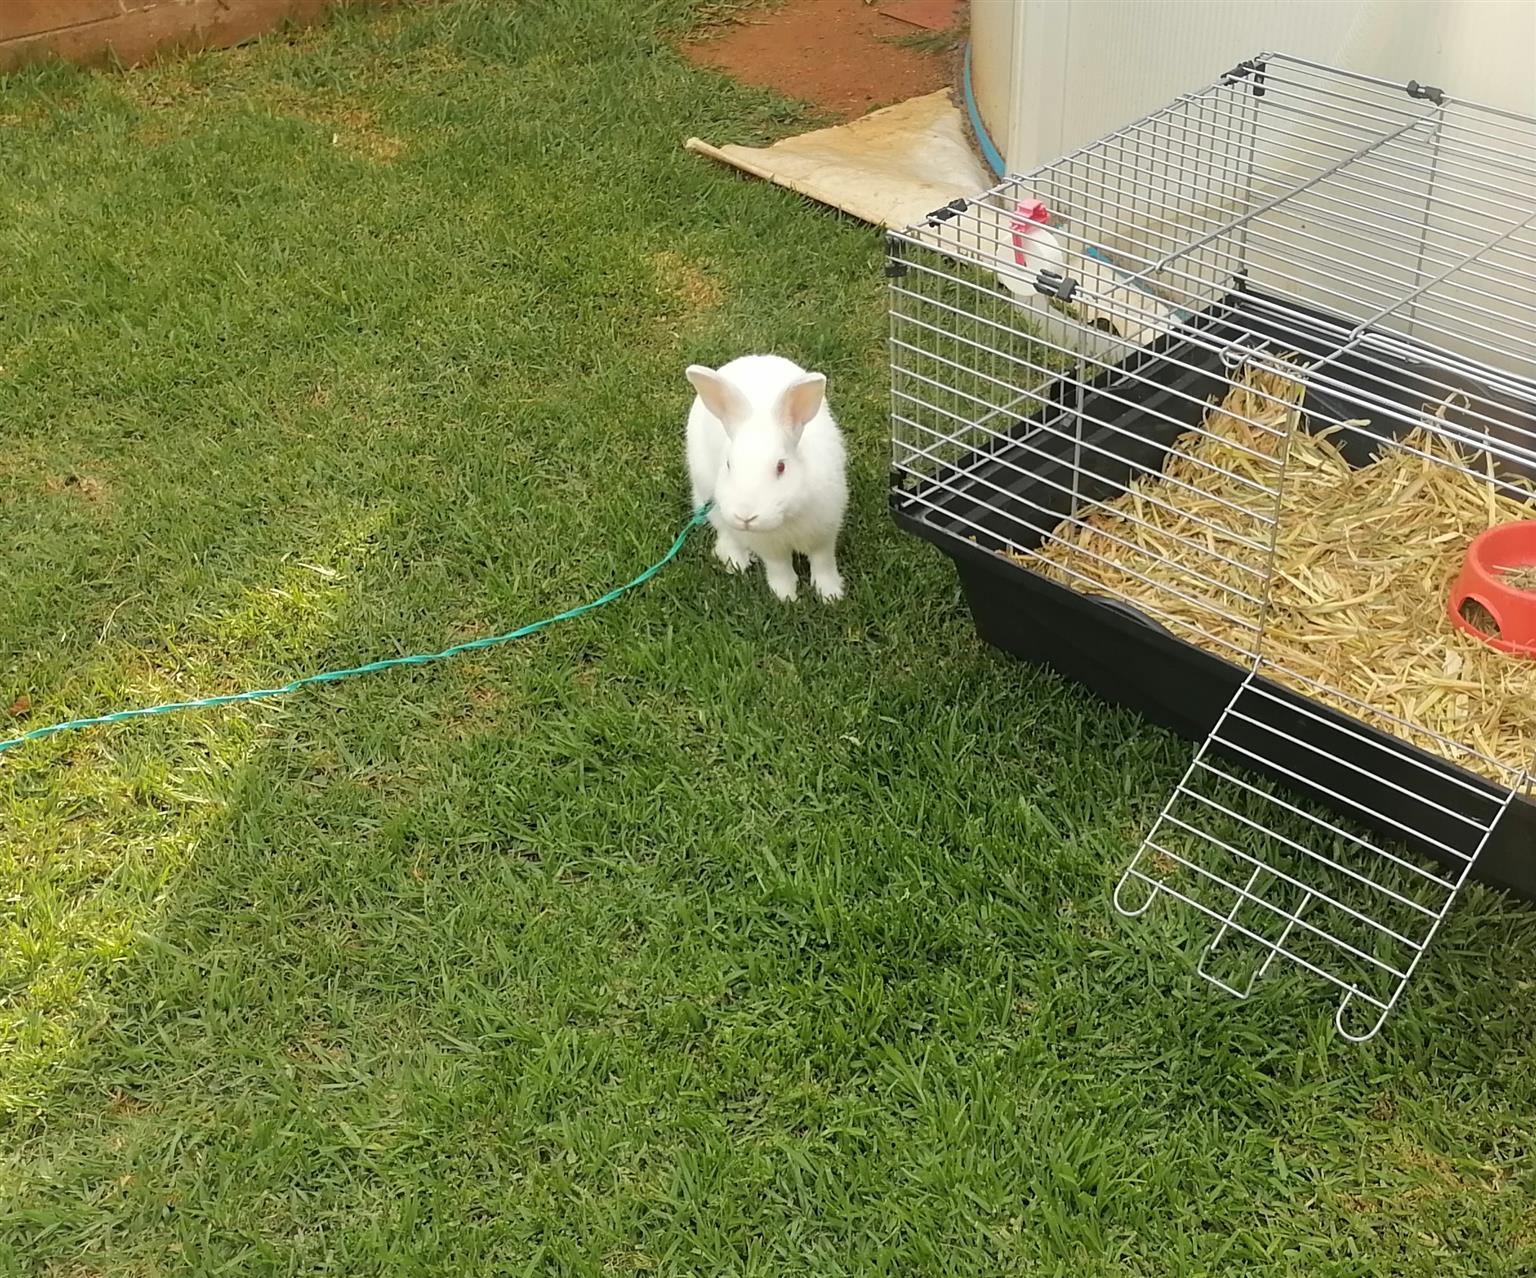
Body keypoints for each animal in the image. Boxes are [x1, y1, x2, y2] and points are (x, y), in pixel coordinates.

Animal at [688, 354, 854, 605]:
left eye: (781, 466)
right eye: (728, 464)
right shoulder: (770, 549)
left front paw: (831, 594)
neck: (786, 517)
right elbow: (780, 569)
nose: (746, 516)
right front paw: (786, 597)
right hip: (708, 494)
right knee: (724, 530)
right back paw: (736, 562)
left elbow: (823, 563)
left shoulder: (824, 534)